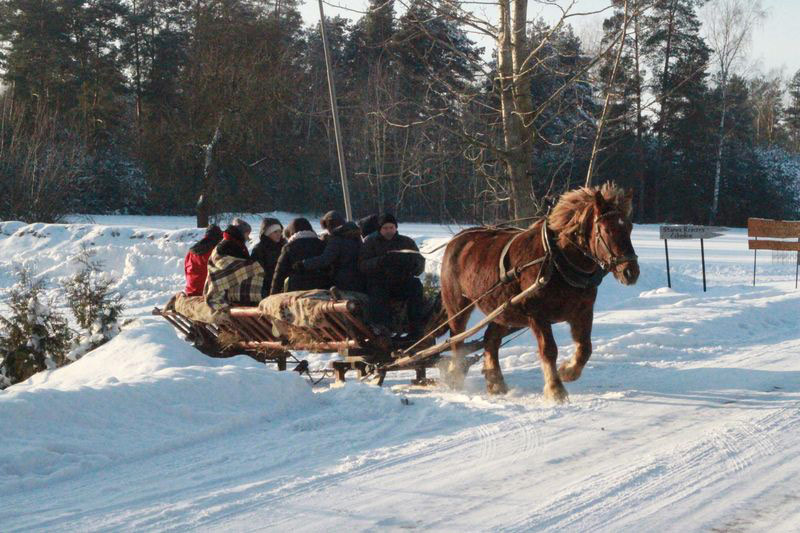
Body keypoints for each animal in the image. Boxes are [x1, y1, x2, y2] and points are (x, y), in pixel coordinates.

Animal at [440, 182, 640, 400]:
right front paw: (555, 389)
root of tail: (456, 240)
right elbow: (549, 349)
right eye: (606, 229)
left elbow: (585, 348)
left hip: (502, 309)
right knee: (457, 340)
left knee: (490, 339)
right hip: (458, 306)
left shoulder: (583, 311)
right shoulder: (537, 315)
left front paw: (567, 371)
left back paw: (495, 383)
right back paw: (456, 377)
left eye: (629, 227)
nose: (631, 272)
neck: (557, 260)